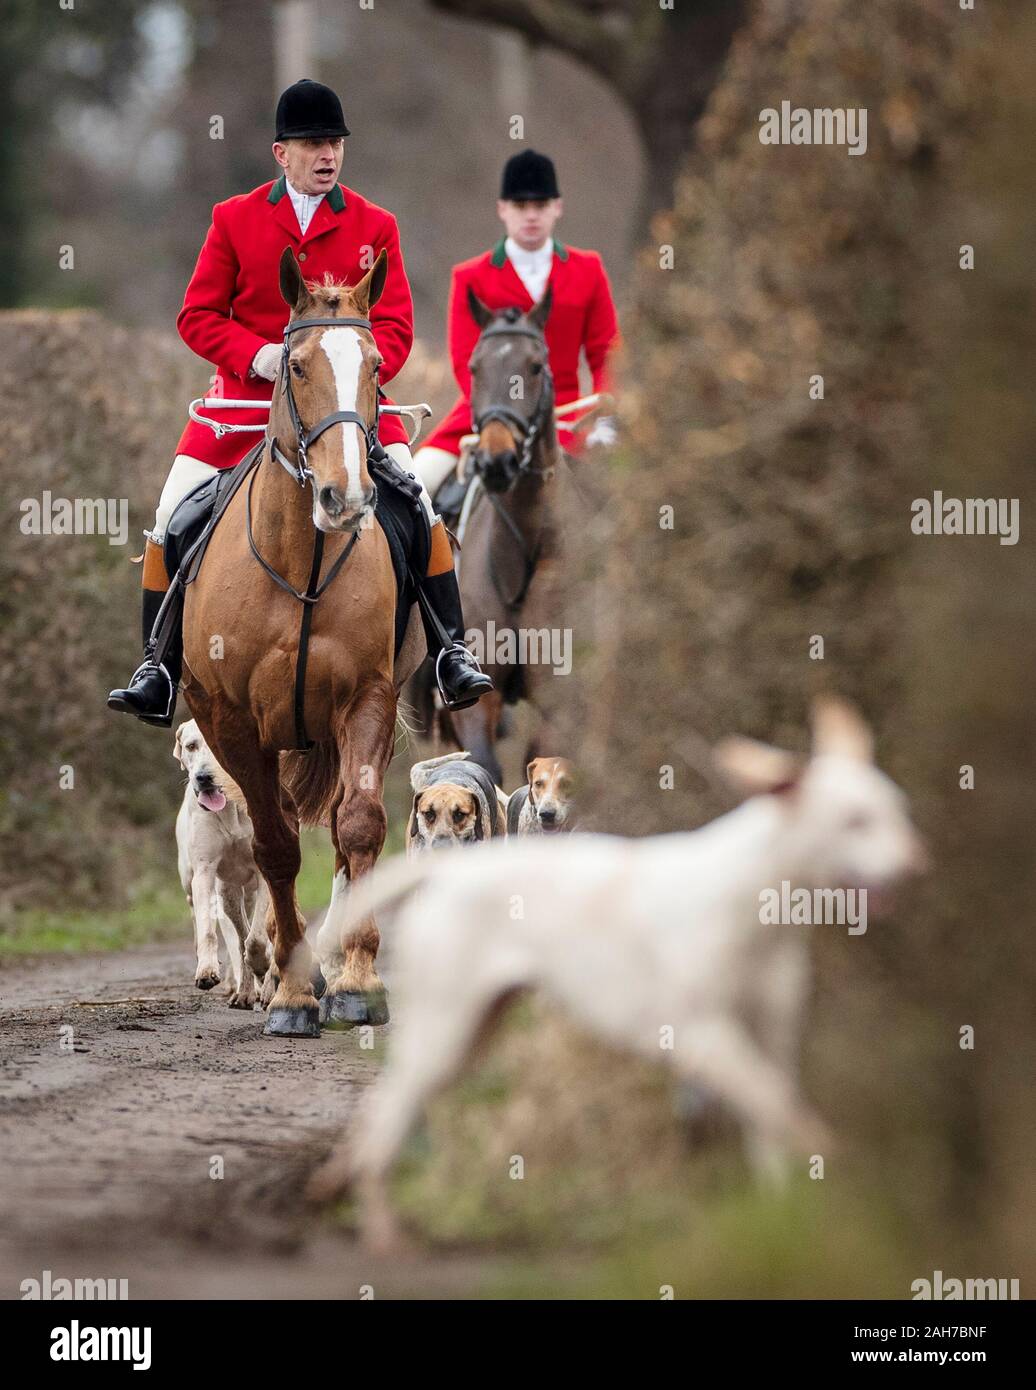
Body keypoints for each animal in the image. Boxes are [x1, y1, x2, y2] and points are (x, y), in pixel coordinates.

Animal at [180, 250, 419, 1039]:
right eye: (295, 364)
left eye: (375, 364)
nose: (347, 498)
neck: (302, 560)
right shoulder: (230, 722)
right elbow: (276, 847)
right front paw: (288, 991)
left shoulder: (369, 698)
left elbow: (359, 828)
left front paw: (358, 981)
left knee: (345, 837)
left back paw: (337, 967)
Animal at [307, 695, 923, 1251]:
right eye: (856, 820)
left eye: (896, 809)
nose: (915, 865)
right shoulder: (705, 1037)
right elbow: (779, 1110)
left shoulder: (771, 1037)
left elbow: (775, 1117)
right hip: (447, 1030)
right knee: (385, 1117)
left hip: (471, 1031)